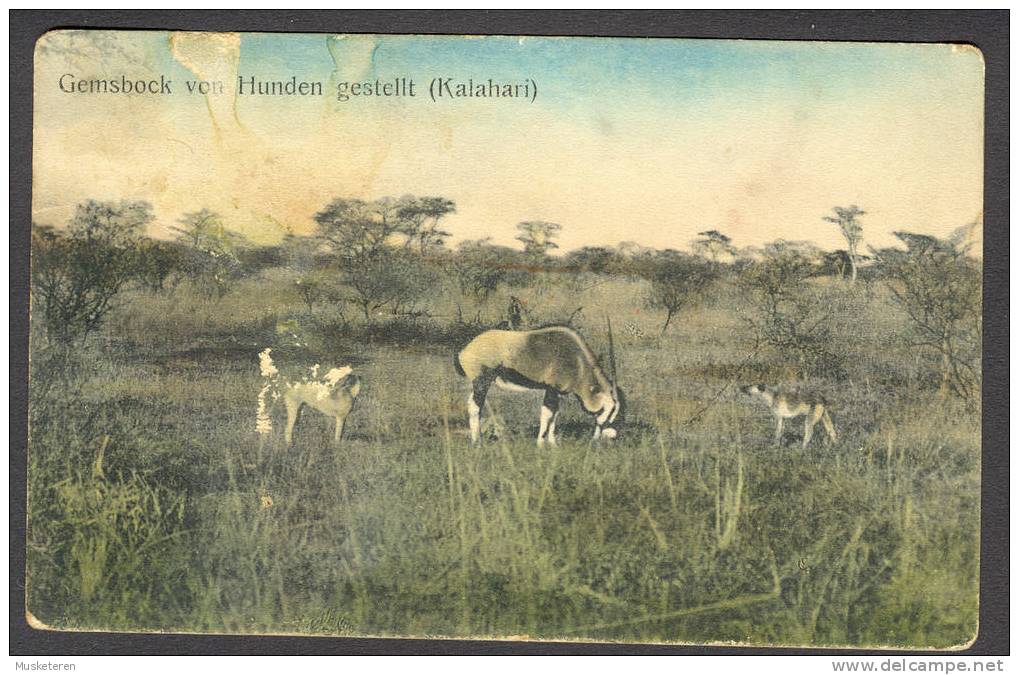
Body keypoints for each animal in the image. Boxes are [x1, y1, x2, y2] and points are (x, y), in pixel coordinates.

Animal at [454, 326, 619, 446]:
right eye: (609, 410)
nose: (611, 437)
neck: (578, 361)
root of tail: (464, 350)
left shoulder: (555, 392)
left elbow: (554, 414)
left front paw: (552, 443)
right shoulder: (552, 389)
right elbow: (546, 414)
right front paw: (540, 443)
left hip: (480, 384)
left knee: (471, 405)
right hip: (481, 382)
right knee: (475, 407)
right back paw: (477, 441)